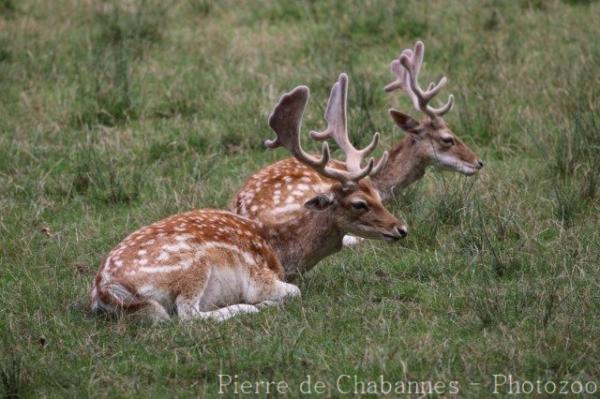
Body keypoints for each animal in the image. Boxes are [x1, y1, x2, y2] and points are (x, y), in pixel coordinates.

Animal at [90, 83, 408, 324]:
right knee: (186, 315)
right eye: (359, 203)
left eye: (377, 193)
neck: (283, 252)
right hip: (192, 266)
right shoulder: (260, 278)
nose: (401, 228)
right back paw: (248, 308)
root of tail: (104, 289)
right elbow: (294, 291)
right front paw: (263, 303)